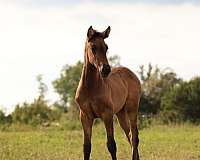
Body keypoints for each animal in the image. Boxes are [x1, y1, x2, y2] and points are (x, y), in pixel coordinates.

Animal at [74, 25, 141, 159]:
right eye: (93, 47)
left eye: (106, 47)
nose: (105, 69)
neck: (90, 88)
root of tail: (132, 74)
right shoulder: (85, 117)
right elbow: (86, 147)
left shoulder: (107, 115)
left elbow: (111, 145)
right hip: (120, 113)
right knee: (130, 135)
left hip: (132, 109)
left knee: (134, 137)